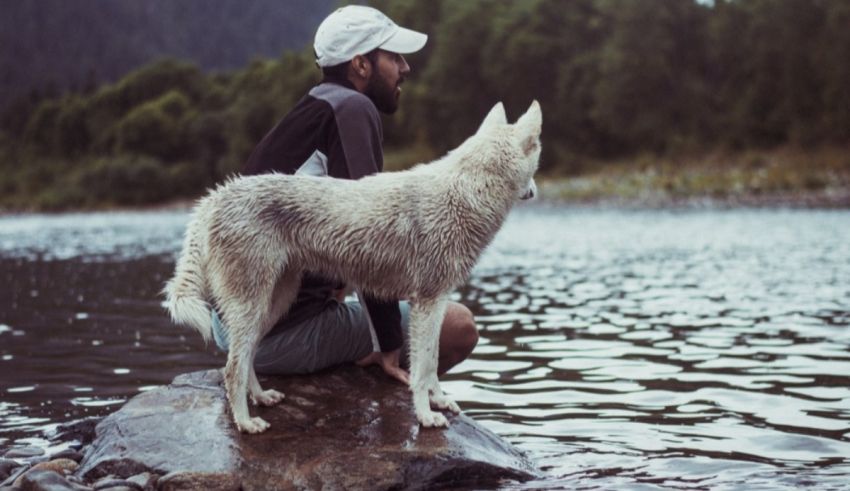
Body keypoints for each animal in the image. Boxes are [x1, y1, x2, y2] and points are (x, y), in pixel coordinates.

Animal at [162, 101, 540, 434]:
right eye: (537, 158)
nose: (536, 192)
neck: (466, 192)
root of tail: (214, 197)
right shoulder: (428, 302)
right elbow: (420, 370)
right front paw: (426, 416)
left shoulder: (435, 302)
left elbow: (430, 364)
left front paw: (440, 401)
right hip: (253, 305)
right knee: (231, 369)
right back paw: (246, 423)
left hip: (273, 304)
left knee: (247, 357)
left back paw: (262, 397)